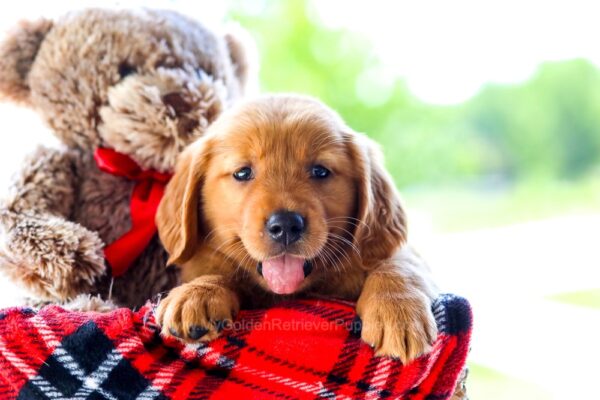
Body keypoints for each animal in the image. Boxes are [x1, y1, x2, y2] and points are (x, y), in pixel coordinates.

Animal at [155, 94, 436, 362]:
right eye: (242, 172)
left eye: (320, 171)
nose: (286, 225)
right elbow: (218, 273)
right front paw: (196, 294)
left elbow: (399, 263)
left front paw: (397, 312)